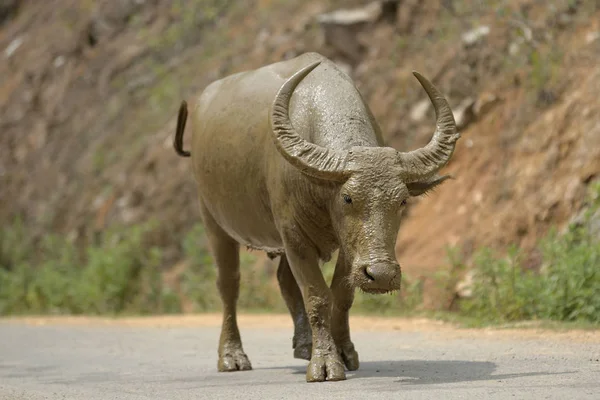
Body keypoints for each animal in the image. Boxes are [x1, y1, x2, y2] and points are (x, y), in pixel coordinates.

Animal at [173, 52, 460, 382]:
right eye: (348, 198)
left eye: (401, 201)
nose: (381, 274)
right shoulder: (293, 235)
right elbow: (317, 296)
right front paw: (324, 363)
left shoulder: (350, 246)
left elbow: (342, 296)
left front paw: (344, 351)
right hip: (214, 223)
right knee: (229, 285)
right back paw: (232, 356)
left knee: (284, 280)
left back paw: (304, 344)